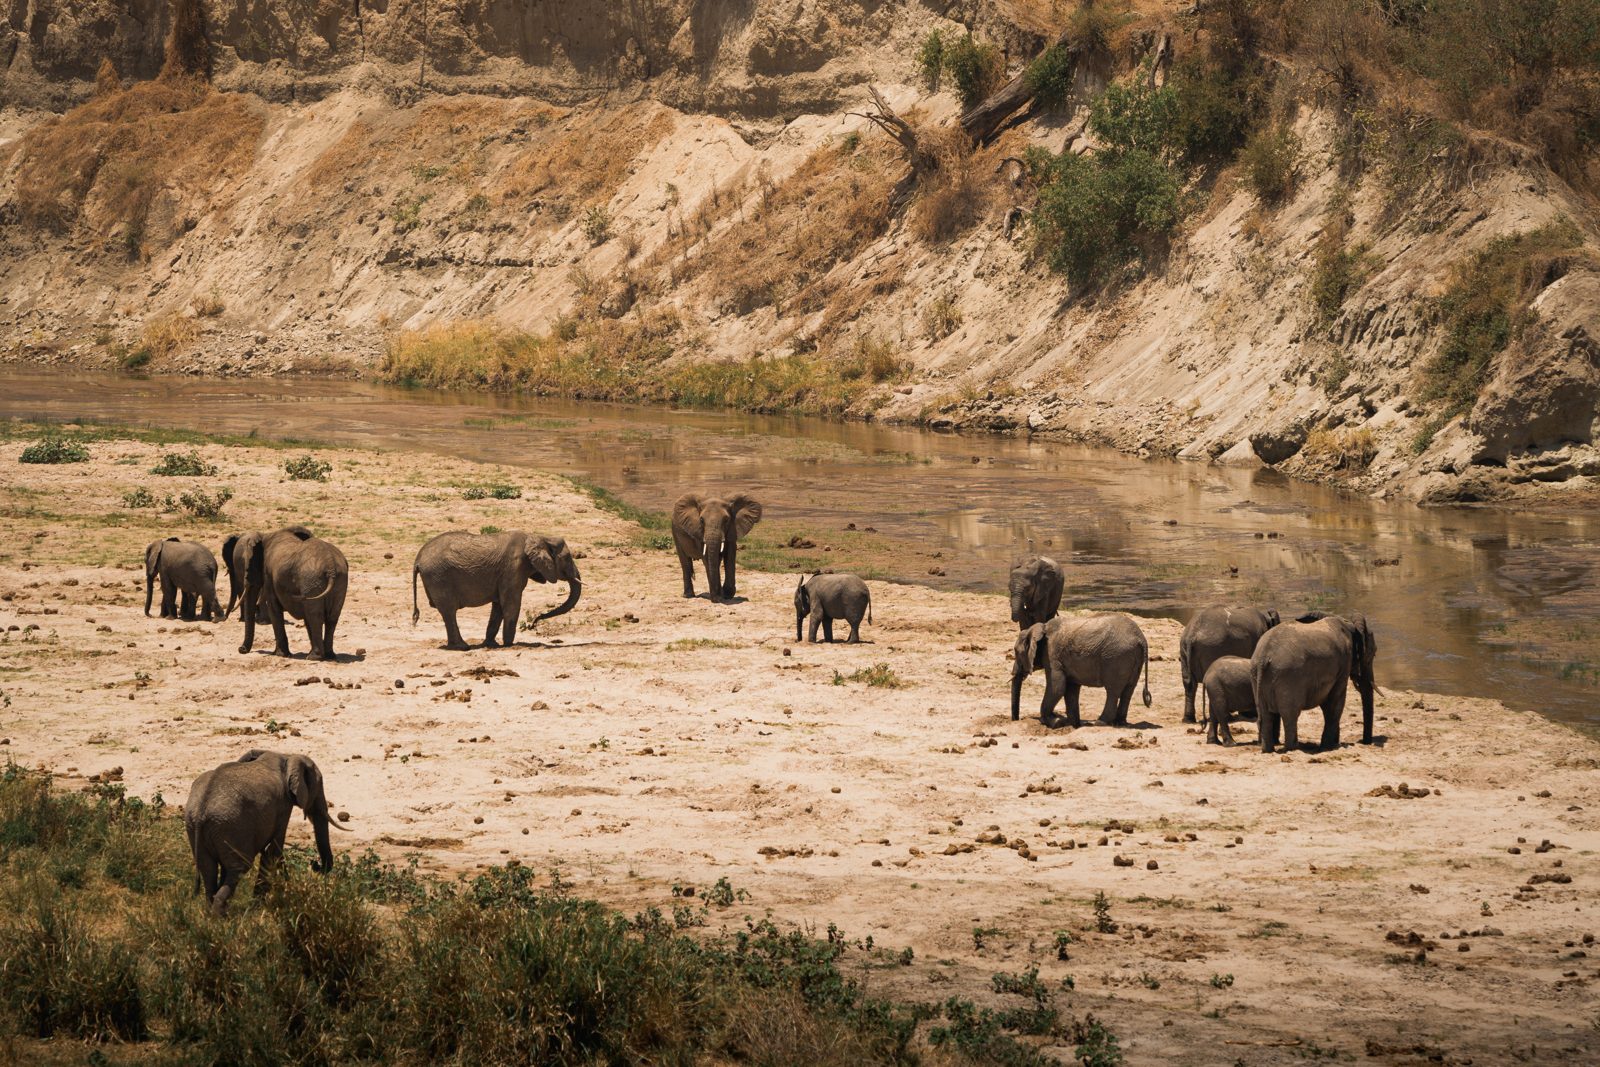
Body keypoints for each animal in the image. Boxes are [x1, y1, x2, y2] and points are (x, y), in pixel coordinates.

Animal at [184, 749, 348, 915]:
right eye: (319, 785)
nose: (314, 864)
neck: (286, 756)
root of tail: (201, 811)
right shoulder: (283, 805)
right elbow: (274, 851)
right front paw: (259, 906)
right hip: (231, 826)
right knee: (238, 869)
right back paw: (224, 916)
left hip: (198, 826)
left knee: (208, 870)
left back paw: (211, 914)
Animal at [233, 526, 349, 660]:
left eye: (248, 567)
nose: (241, 649)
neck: (264, 536)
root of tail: (331, 567)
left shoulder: (269, 576)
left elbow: (274, 609)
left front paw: (280, 654)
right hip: (337, 581)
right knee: (331, 617)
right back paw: (329, 656)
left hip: (311, 580)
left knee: (315, 616)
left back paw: (313, 657)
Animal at [412, 530, 582, 650]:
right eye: (567, 558)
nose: (533, 624)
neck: (540, 536)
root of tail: (418, 558)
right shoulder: (513, 568)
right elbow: (511, 604)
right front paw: (509, 645)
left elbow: (499, 605)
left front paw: (491, 645)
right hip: (438, 577)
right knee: (449, 611)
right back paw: (462, 647)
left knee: (447, 613)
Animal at [1012, 613, 1152, 728]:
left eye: (1016, 652)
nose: (1016, 719)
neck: (1041, 627)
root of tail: (1141, 639)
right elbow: (1071, 689)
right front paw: (1073, 724)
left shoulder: (1052, 655)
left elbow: (1057, 687)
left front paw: (1055, 722)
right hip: (1133, 658)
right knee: (1128, 691)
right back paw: (1119, 722)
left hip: (1117, 657)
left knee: (1113, 691)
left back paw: (1100, 722)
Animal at [1249, 612, 1377, 753]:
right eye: (1372, 655)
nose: (1365, 742)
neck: (1349, 624)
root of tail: (1263, 658)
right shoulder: (1344, 661)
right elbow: (1335, 702)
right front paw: (1329, 746)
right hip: (1288, 677)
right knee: (1290, 716)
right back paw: (1293, 748)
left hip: (1256, 675)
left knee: (1265, 715)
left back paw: (1268, 750)